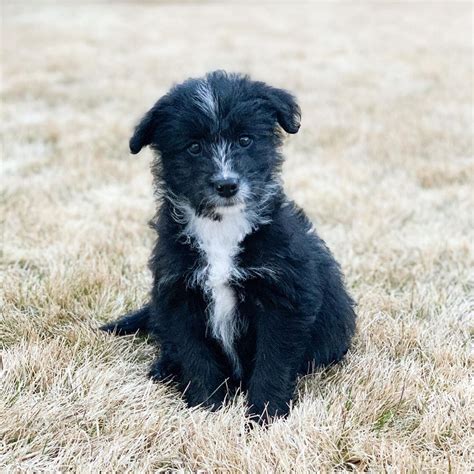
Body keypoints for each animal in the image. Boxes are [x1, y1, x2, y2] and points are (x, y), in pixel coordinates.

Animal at [103, 69, 356, 422]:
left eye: (245, 140)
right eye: (194, 147)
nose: (226, 185)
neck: (221, 228)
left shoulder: (284, 299)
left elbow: (273, 361)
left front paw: (264, 415)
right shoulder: (178, 293)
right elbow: (194, 354)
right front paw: (207, 407)